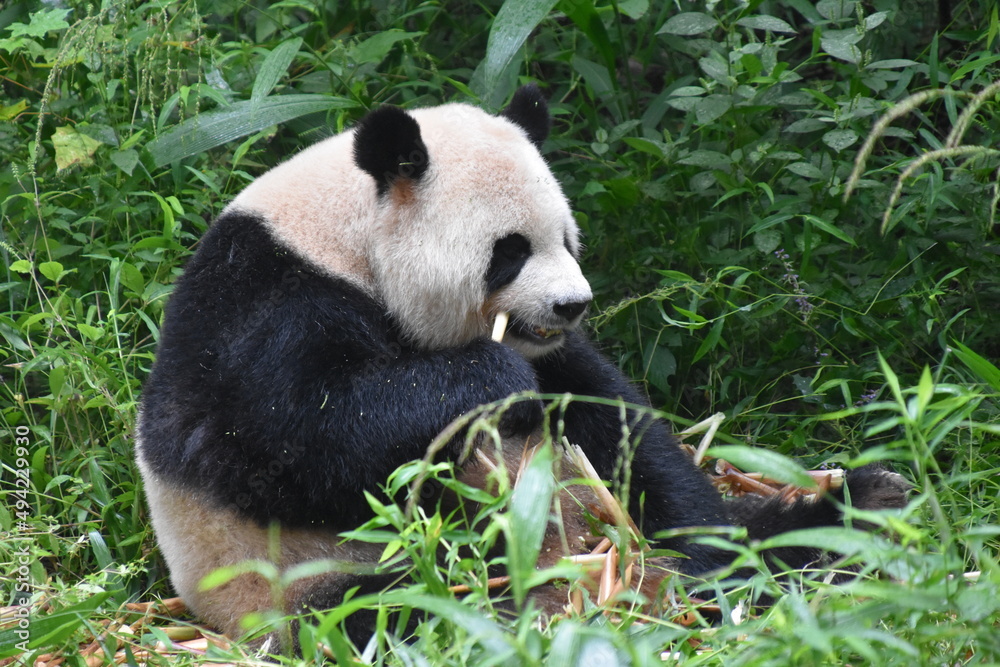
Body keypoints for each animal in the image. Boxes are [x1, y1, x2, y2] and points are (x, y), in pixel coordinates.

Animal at [135, 85, 908, 645]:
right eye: (509, 250)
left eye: (566, 237)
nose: (572, 304)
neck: (348, 236)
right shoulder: (265, 305)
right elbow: (278, 439)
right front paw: (489, 381)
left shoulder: (562, 359)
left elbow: (620, 432)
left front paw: (705, 546)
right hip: (296, 578)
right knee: (401, 605)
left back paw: (859, 509)